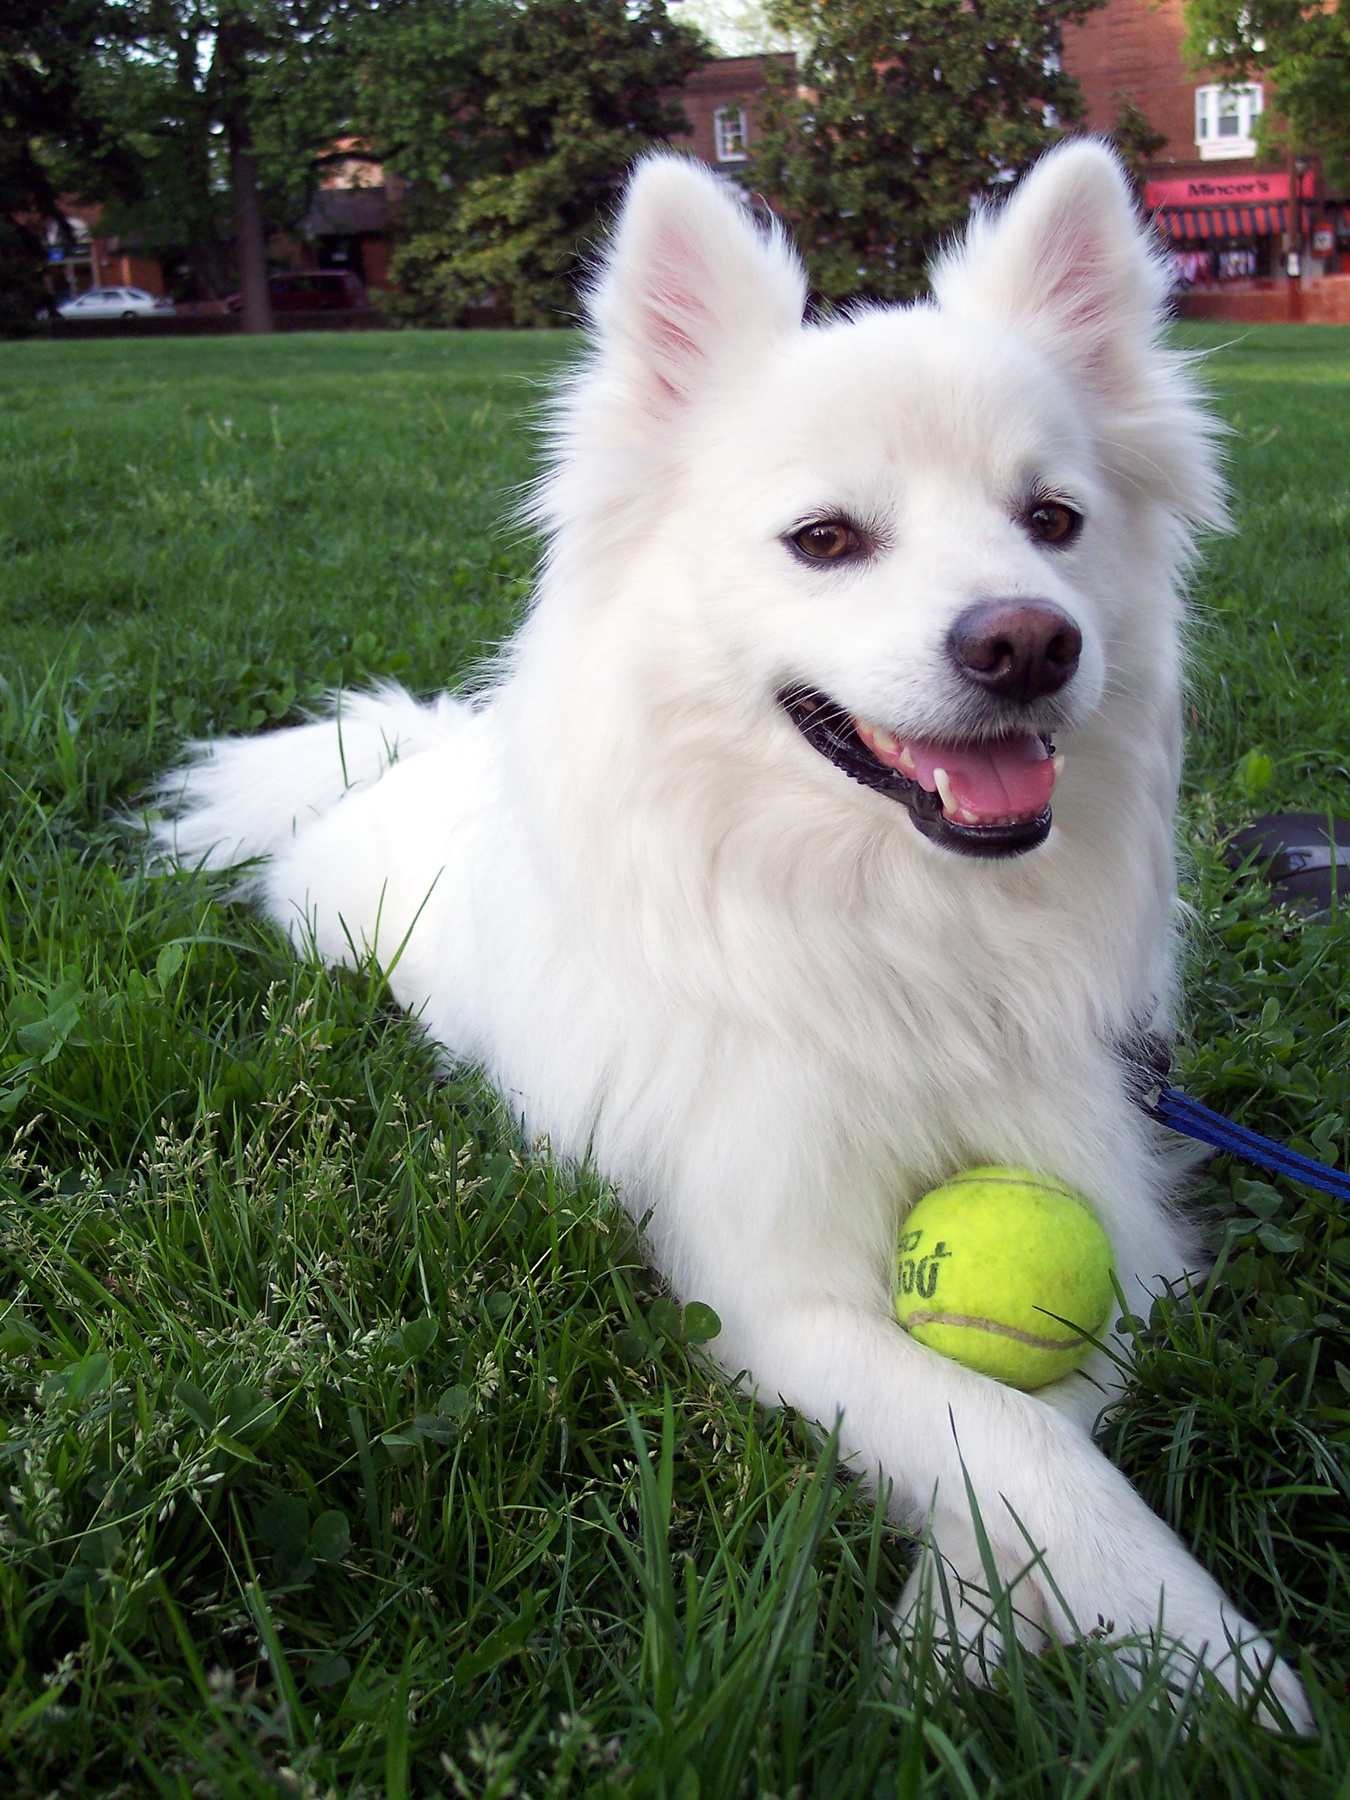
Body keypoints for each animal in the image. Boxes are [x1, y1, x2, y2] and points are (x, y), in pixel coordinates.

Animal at [155, 144, 1310, 1728]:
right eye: (824, 541)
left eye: (1055, 522)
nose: (1028, 641)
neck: (897, 929)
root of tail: (412, 754)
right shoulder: (764, 1281)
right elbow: (1011, 1436)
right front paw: (1206, 1660)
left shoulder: (1107, 1211)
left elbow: (1043, 1407)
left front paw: (971, 1630)